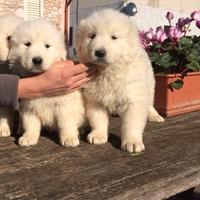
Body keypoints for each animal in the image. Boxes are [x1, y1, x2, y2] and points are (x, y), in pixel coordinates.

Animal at [8, 19, 85, 147]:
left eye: (47, 46)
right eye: (27, 44)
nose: (37, 60)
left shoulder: (64, 105)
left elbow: (65, 123)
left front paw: (69, 138)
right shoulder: (28, 107)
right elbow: (30, 125)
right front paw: (28, 137)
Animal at [75, 9, 164, 153]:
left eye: (114, 37)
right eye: (92, 36)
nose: (99, 52)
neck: (108, 71)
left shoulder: (134, 99)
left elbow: (131, 123)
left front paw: (132, 142)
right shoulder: (95, 100)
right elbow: (98, 119)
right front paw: (98, 135)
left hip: (150, 85)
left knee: (150, 103)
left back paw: (155, 116)